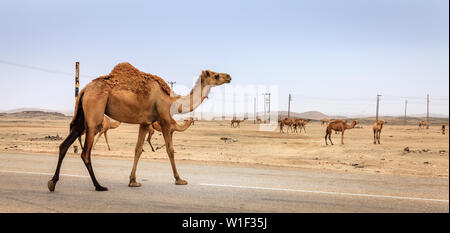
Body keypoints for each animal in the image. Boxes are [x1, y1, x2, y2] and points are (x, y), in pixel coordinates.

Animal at [48, 62, 232, 191]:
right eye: (216, 75)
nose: (229, 76)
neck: (171, 101)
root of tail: (85, 89)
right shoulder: (164, 119)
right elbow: (170, 150)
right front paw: (179, 179)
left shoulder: (145, 123)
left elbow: (137, 149)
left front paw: (133, 181)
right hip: (94, 116)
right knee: (85, 153)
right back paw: (99, 186)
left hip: (81, 115)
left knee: (64, 145)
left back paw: (52, 183)